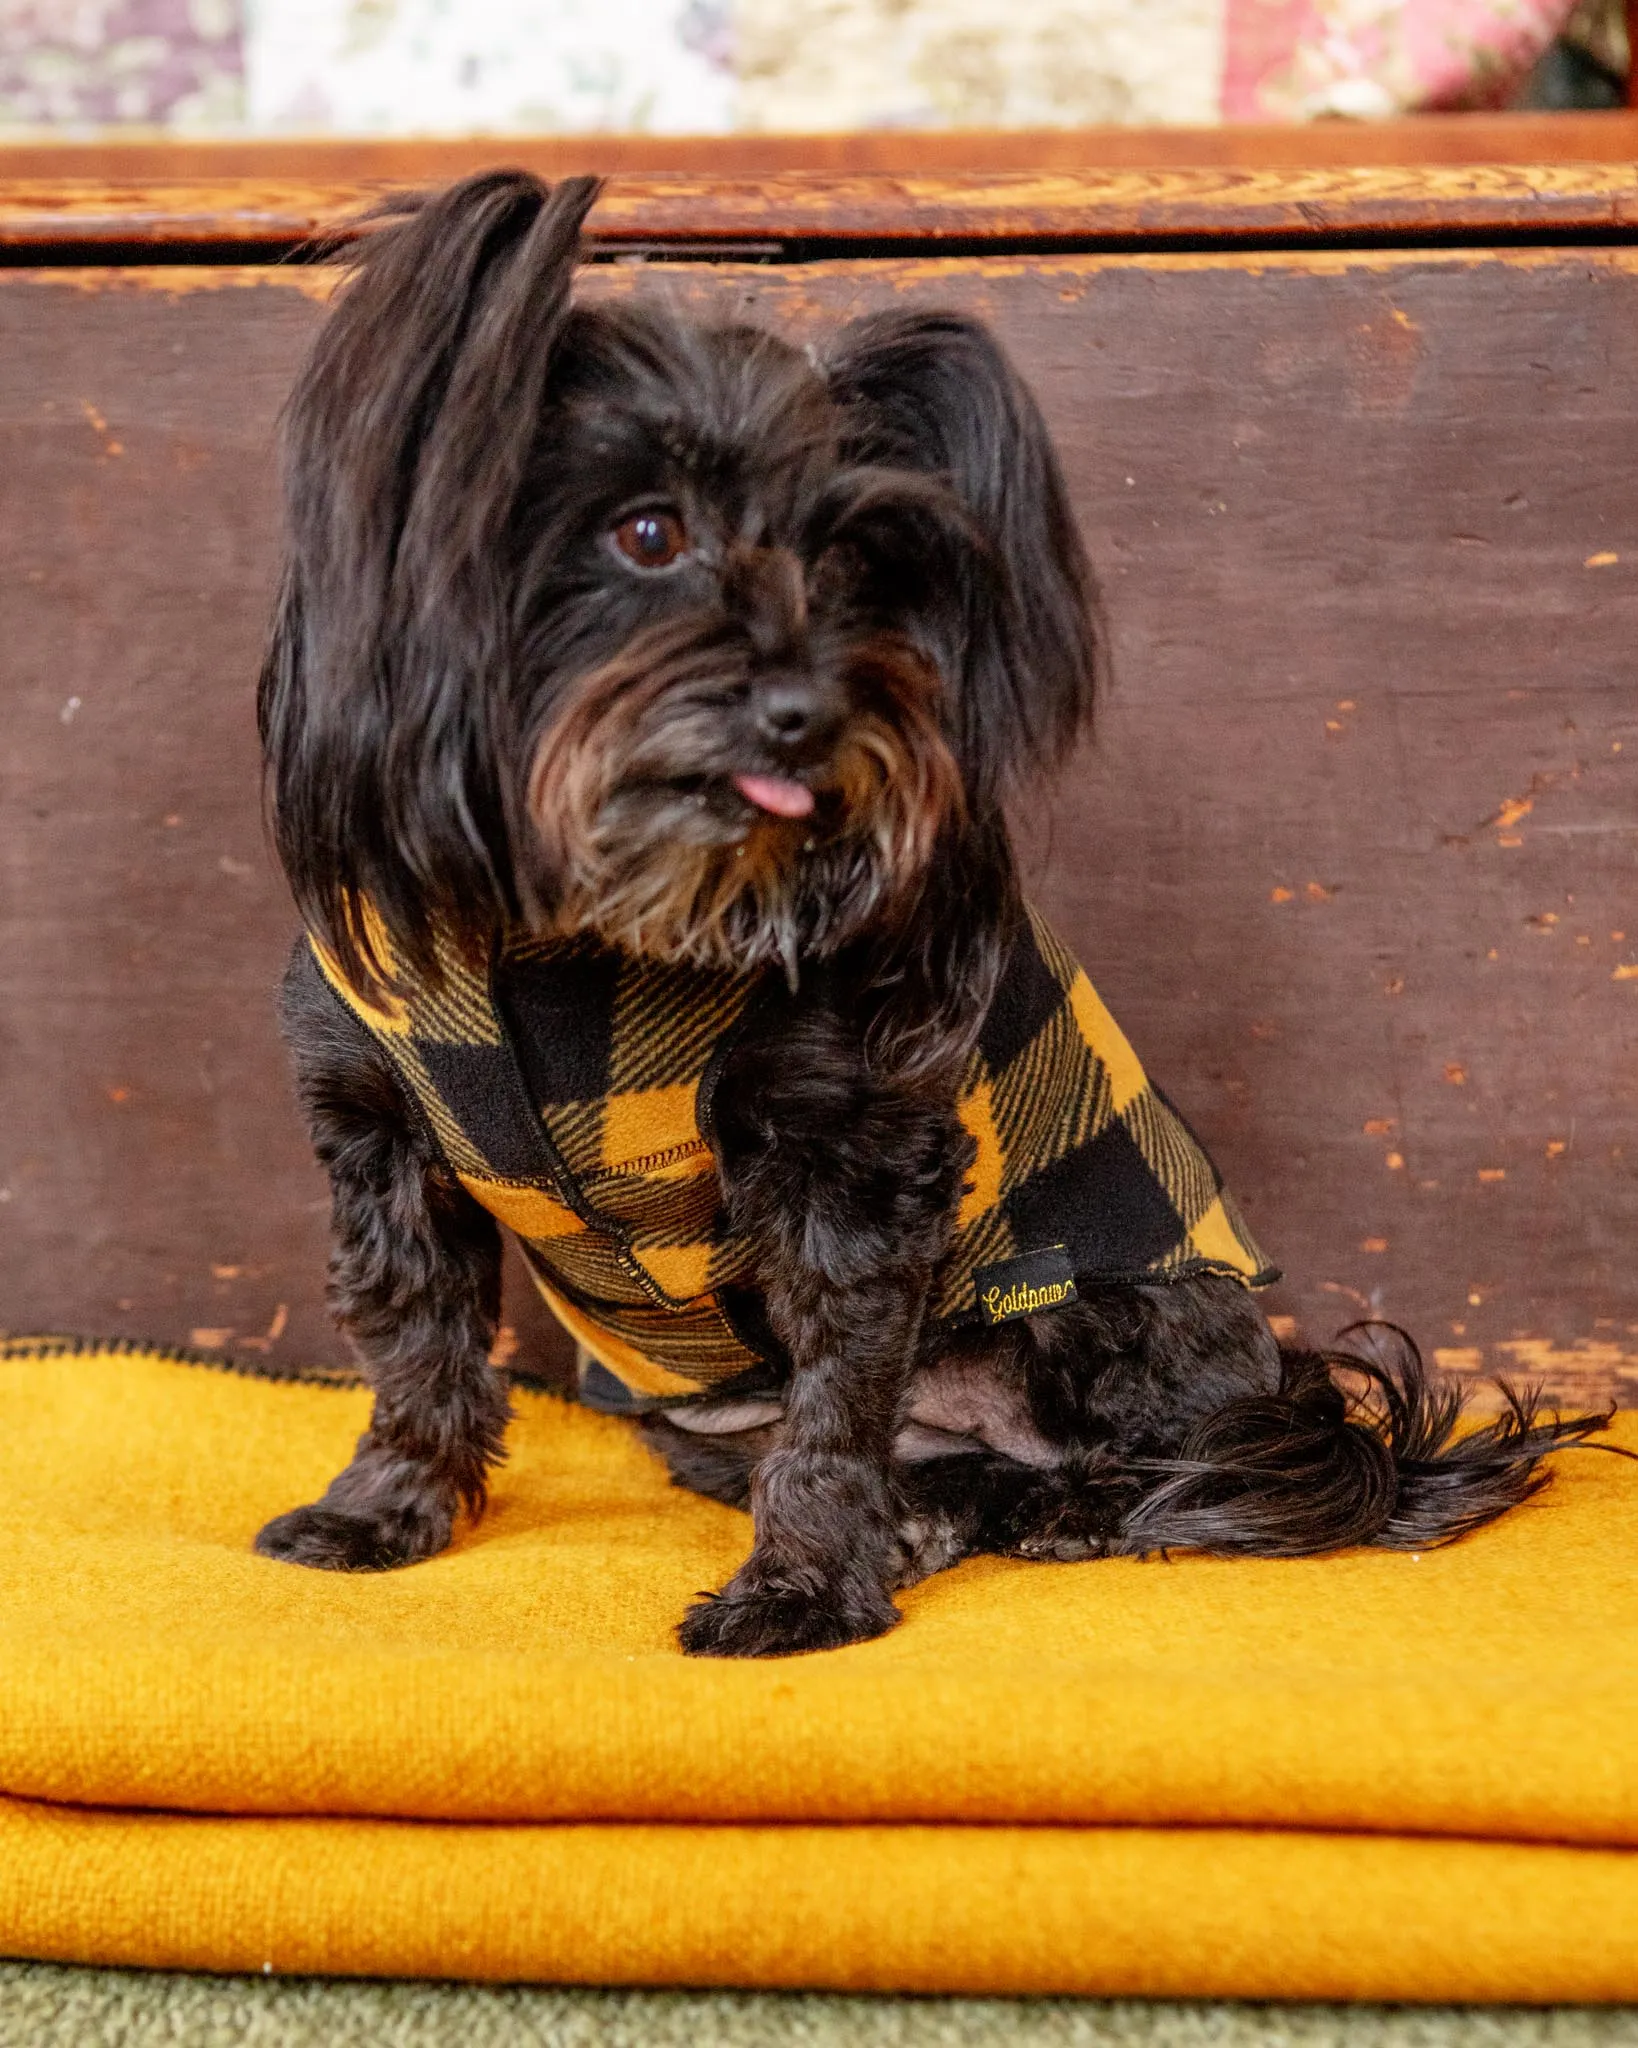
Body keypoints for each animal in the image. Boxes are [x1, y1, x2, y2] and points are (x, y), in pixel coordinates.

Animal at [252, 167, 1597, 1654]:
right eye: (647, 530)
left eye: (856, 570)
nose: (808, 709)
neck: (583, 932)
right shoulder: (381, 1135)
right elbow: (411, 1336)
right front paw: (385, 1509)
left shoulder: (848, 1161)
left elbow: (838, 1404)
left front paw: (797, 1588)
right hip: (699, 1412)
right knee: (939, 1476)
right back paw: (927, 1517)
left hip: (1115, 1319)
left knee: (1170, 1451)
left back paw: (1064, 1508)